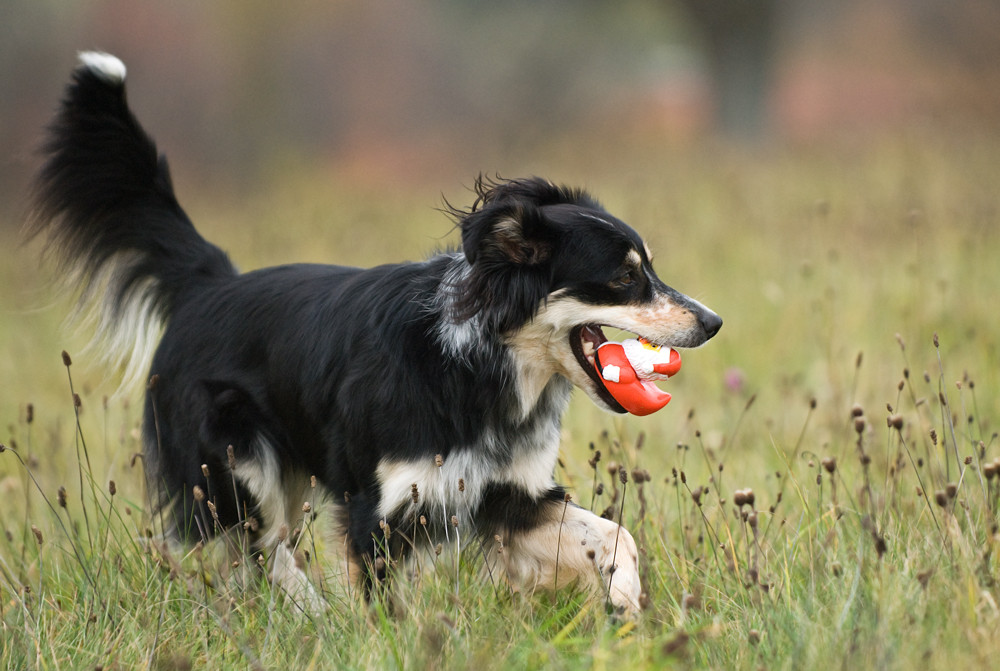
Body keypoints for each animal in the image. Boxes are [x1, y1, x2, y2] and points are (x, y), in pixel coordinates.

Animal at [29, 55, 720, 616]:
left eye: (649, 268)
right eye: (625, 277)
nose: (712, 323)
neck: (477, 365)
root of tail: (209, 284)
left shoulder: (507, 497)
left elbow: (614, 533)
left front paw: (624, 596)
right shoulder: (381, 510)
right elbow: (387, 604)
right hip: (234, 464)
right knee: (263, 549)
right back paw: (315, 617)